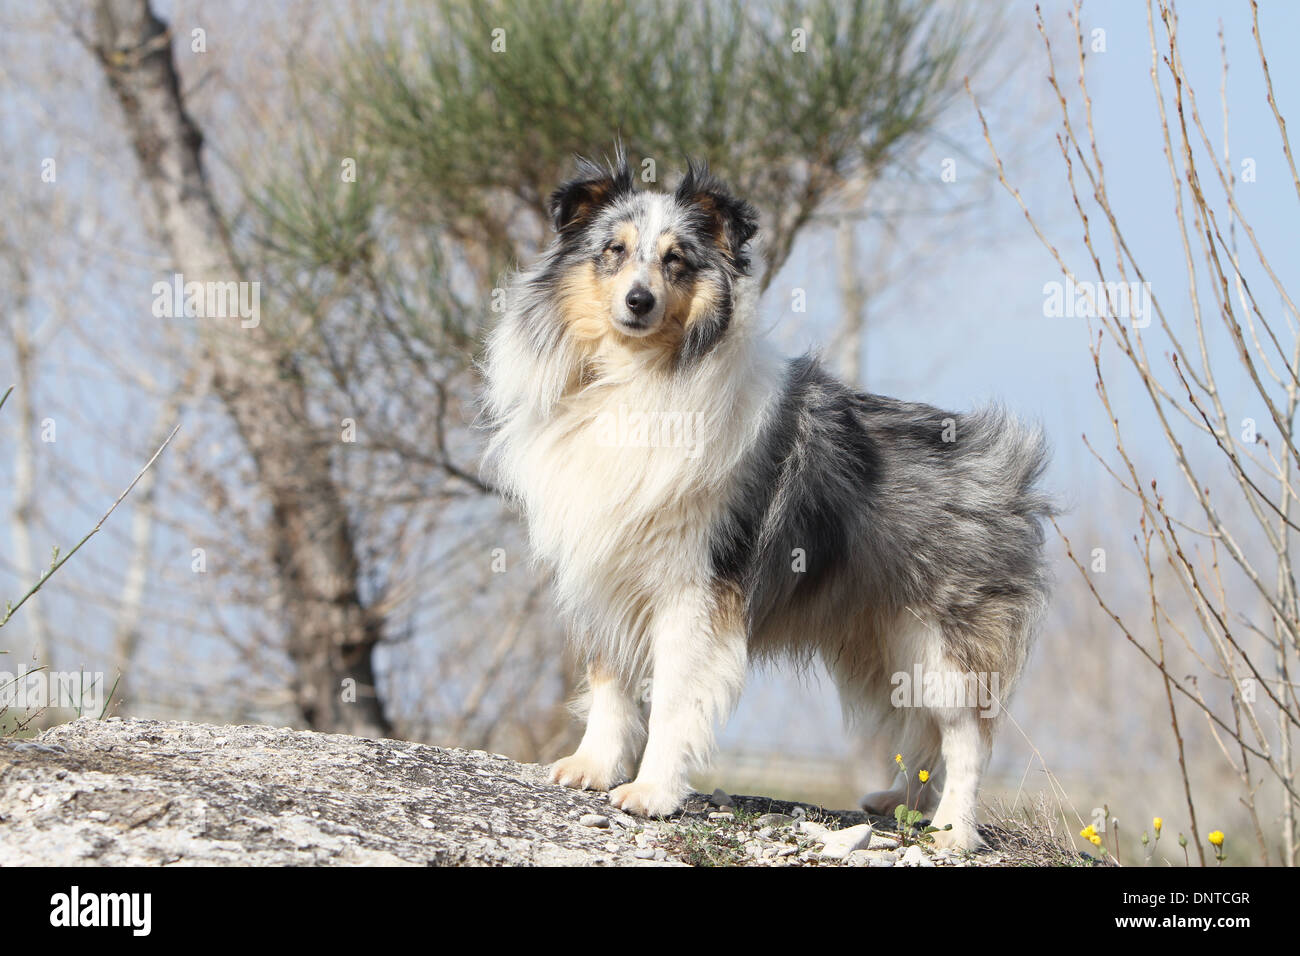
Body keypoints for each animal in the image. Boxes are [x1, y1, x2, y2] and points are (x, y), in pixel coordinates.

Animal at [483, 151, 1050, 853]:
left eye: (676, 259)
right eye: (613, 251)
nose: (638, 301)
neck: (636, 377)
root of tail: (1005, 466)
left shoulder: (696, 588)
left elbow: (674, 697)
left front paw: (650, 793)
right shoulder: (606, 569)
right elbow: (608, 677)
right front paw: (590, 767)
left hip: (941, 640)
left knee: (966, 734)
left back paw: (952, 831)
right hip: (881, 642)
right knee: (923, 731)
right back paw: (900, 804)